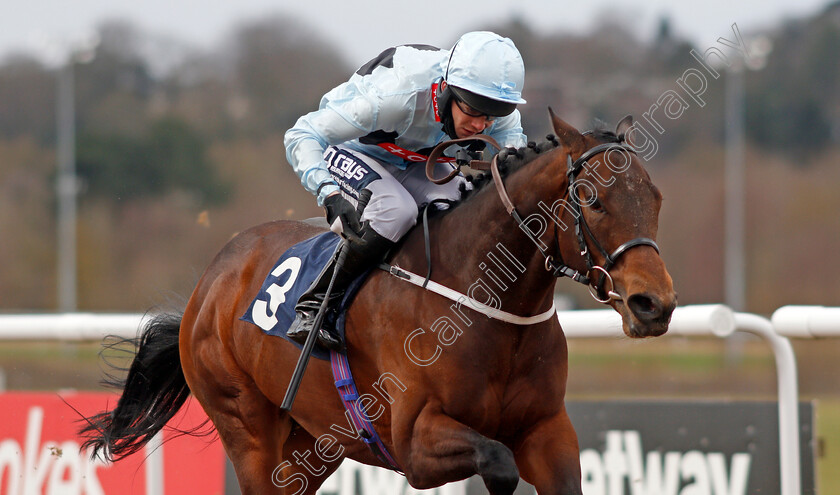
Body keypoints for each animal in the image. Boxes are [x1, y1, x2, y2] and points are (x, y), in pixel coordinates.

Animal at [82, 112, 676, 495]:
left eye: (655, 198)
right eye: (593, 201)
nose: (655, 304)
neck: (485, 302)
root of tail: (210, 280)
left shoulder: (547, 430)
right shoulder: (415, 442)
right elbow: (499, 464)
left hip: (311, 444)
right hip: (246, 428)